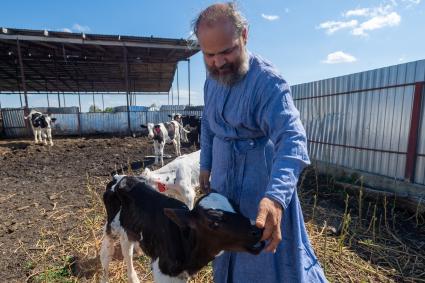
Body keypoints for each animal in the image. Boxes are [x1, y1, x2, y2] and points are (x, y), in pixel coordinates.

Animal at [100, 176, 264, 283]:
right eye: (213, 223)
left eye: (237, 206)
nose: (258, 230)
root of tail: (121, 178)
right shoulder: (162, 273)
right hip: (111, 228)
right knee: (107, 254)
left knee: (126, 246)